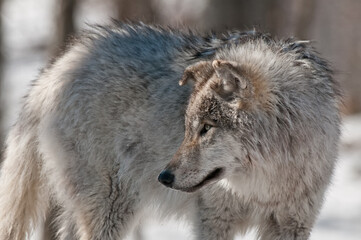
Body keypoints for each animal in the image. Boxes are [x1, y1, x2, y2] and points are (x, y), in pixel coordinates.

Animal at [0, 22, 340, 238]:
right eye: (188, 128)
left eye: (206, 128)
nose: (164, 177)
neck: (265, 184)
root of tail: (55, 70)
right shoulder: (213, 219)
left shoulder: (292, 223)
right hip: (110, 209)